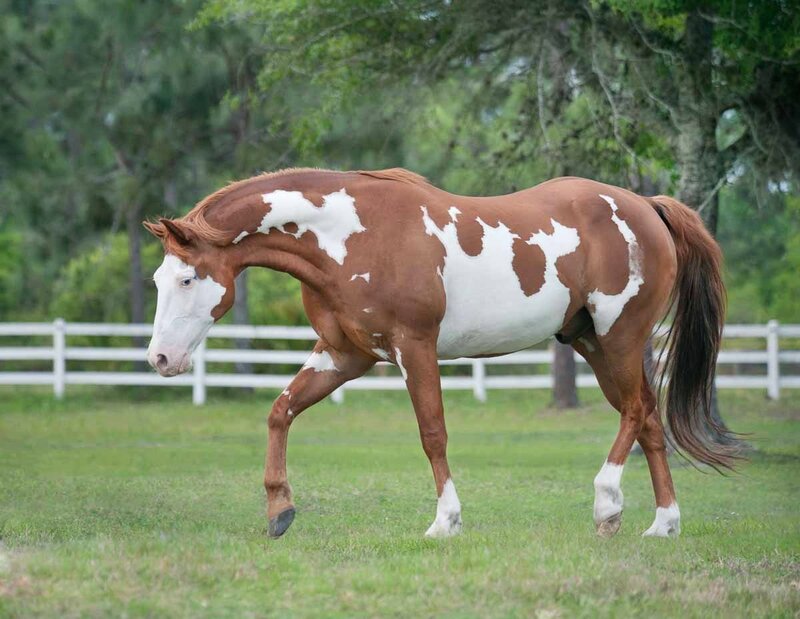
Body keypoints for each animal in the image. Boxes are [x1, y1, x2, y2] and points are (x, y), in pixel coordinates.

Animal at [144, 168, 739, 539]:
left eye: (187, 278)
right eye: (157, 280)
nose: (160, 360)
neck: (352, 235)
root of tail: (647, 208)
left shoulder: (415, 347)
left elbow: (432, 433)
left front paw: (445, 522)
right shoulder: (344, 355)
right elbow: (280, 411)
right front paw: (279, 510)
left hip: (620, 338)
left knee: (637, 413)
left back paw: (606, 504)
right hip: (593, 342)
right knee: (649, 421)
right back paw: (663, 524)